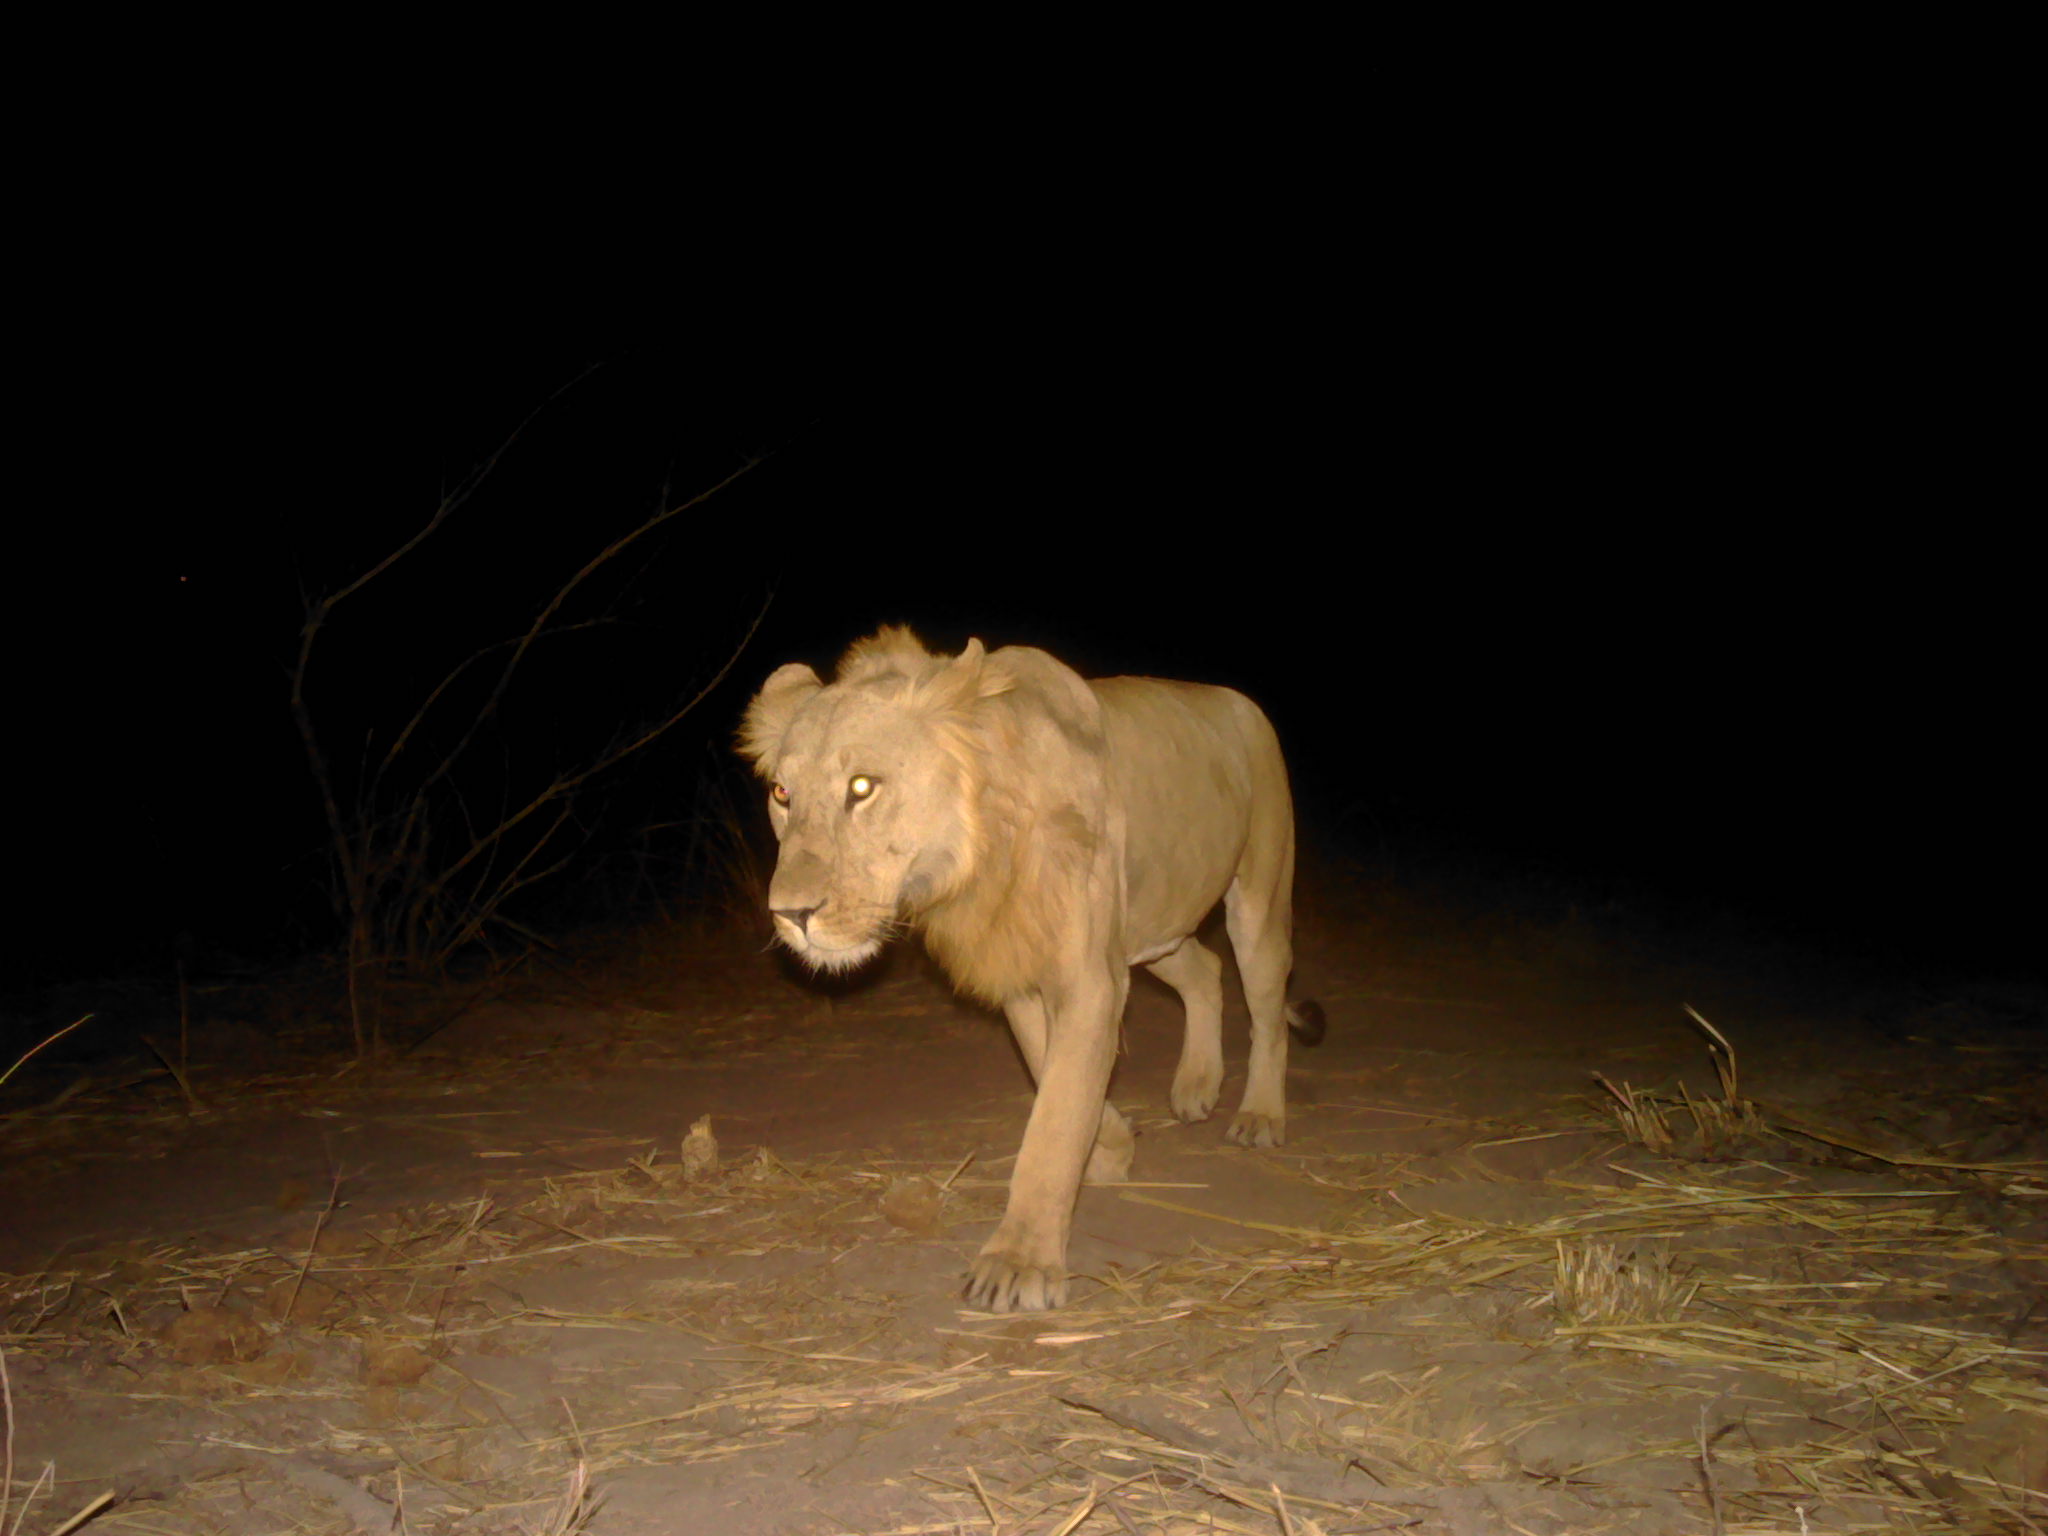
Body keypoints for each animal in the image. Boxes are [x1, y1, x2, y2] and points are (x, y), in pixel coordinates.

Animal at [740, 627, 1323, 1313]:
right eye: (782, 794)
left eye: (862, 787)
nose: (790, 914)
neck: (974, 853)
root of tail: (1238, 702)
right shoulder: (1021, 966)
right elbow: (1052, 1074)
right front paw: (1112, 1147)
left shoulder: (1089, 977)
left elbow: (1055, 1116)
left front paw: (1019, 1264)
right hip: (1154, 928)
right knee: (1204, 970)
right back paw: (1196, 1086)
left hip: (1257, 898)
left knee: (1266, 1008)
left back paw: (1259, 1116)